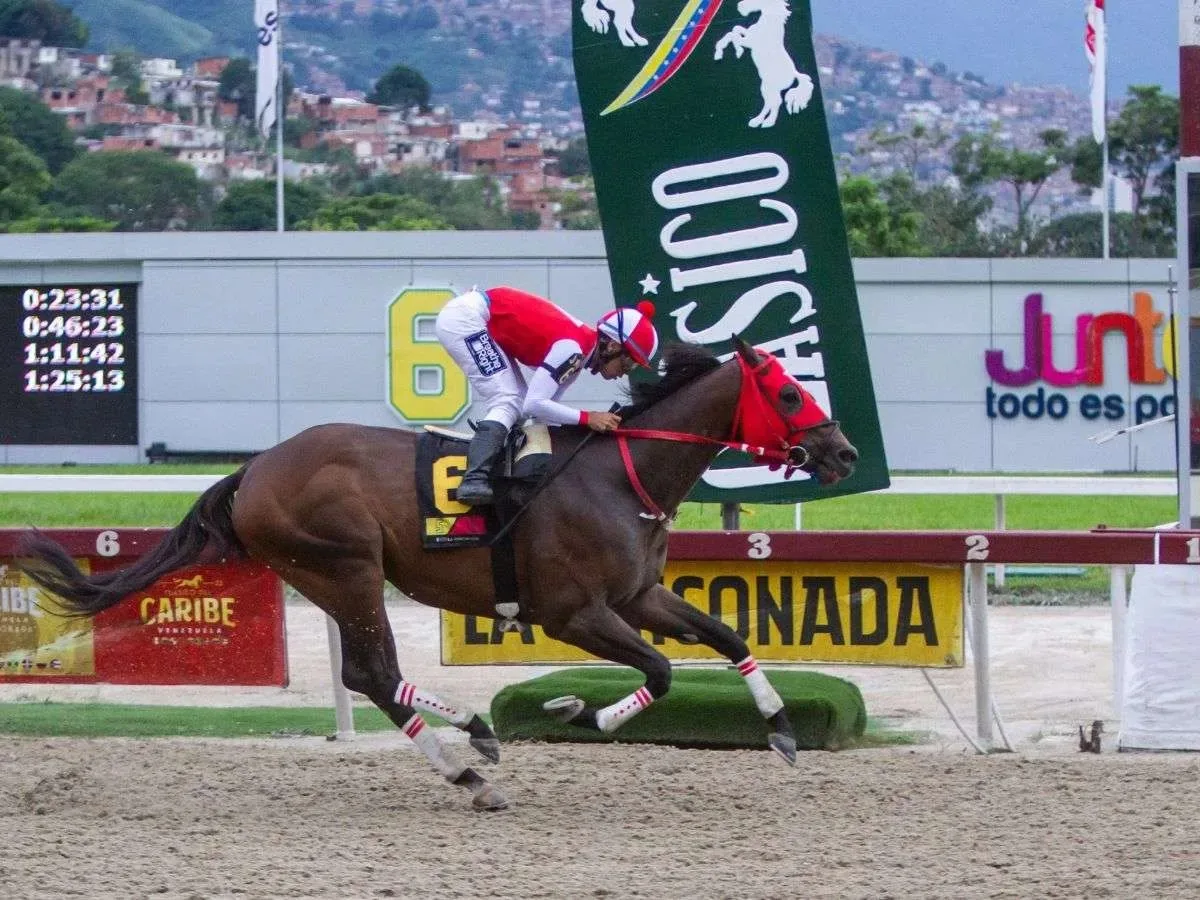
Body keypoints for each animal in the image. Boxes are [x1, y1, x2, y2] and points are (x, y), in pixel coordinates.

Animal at [21, 336, 864, 811]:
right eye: (788, 392)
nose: (844, 452)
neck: (620, 476)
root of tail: (255, 468)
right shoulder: (575, 613)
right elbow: (659, 673)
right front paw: (576, 712)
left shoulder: (639, 595)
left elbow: (726, 636)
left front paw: (780, 727)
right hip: (345, 566)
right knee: (370, 672)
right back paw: (471, 768)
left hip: (337, 575)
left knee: (377, 676)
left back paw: (474, 746)